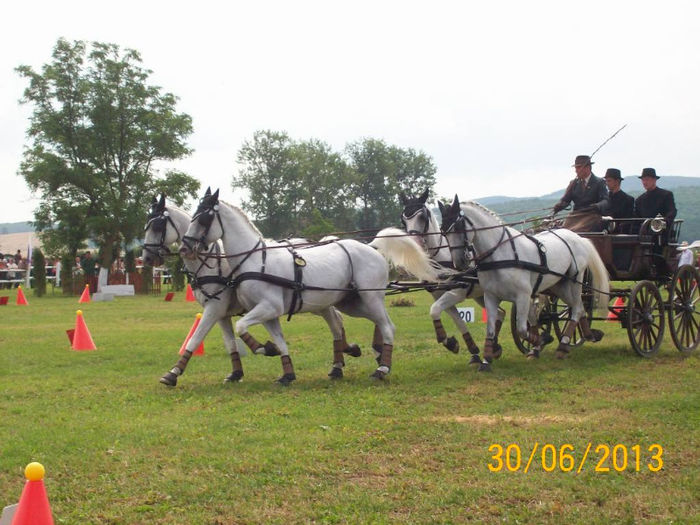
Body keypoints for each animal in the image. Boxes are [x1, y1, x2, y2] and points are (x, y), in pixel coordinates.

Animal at [182, 187, 442, 380]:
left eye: (203, 218)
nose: (186, 246)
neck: (255, 260)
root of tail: (371, 246)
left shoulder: (269, 307)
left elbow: (241, 326)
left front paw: (264, 349)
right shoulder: (268, 313)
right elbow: (278, 340)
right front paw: (285, 370)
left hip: (371, 297)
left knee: (388, 326)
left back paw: (382, 368)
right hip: (352, 303)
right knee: (372, 323)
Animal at [440, 193, 608, 368]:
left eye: (458, 227)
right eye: (443, 232)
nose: (459, 263)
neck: (502, 255)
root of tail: (577, 237)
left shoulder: (523, 296)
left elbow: (522, 329)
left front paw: (542, 341)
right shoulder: (490, 296)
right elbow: (491, 329)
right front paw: (486, 361)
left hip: (575, 280)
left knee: (575, 309)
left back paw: (563, 346)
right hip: (558, 285)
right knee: (579, 307)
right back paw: (588, 335)